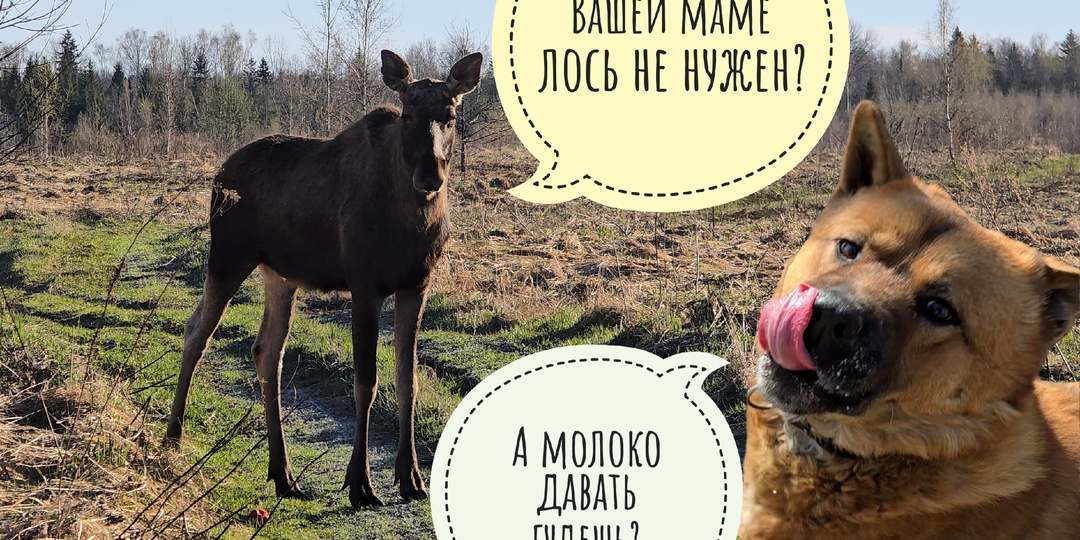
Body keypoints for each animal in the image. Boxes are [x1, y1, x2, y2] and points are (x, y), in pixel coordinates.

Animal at [165, 50, 484, 508]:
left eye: (451, 114)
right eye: (407, 114)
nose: (429, 176)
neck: (414, 219)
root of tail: (219, 171)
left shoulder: (417, 285)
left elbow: (407, 379)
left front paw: (410, 477)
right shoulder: (365, 286)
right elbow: (365, 382)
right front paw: (361, 483)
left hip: (280, 275)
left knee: (267, 351)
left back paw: (283, 474)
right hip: (227, 258)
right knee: (197, 332)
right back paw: (173, 437)